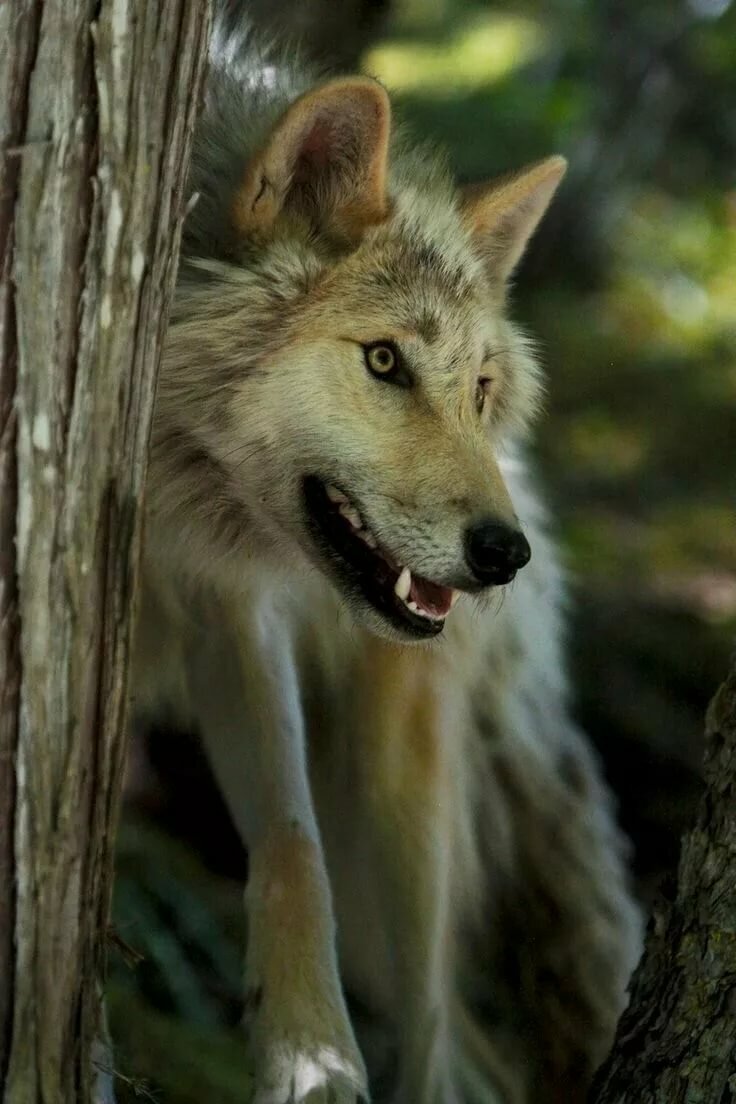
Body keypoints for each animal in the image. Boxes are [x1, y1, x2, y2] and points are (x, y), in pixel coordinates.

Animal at [132, 9, 641, 1104]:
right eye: (382, 361)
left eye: (477, 387)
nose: (504, 555)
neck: (162, 492)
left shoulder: (236, 619)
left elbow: (291, 852)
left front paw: (308, 1056)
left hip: (401, 842)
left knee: (442, 1040)